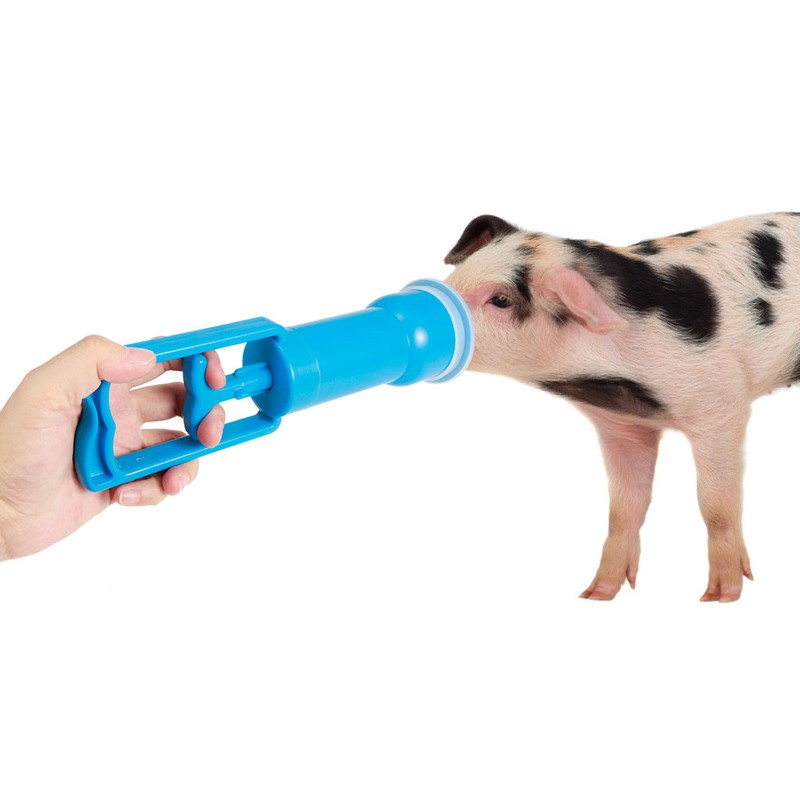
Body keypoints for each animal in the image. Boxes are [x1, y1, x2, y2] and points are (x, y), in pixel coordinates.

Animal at [443, 212, 800, 602]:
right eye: (458, 274)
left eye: (501, 299)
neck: (603, 380)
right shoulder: (623, 425)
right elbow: (624, 508)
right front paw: (595, 594)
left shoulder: (720, 403)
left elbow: (715, 504)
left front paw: (720, 596)